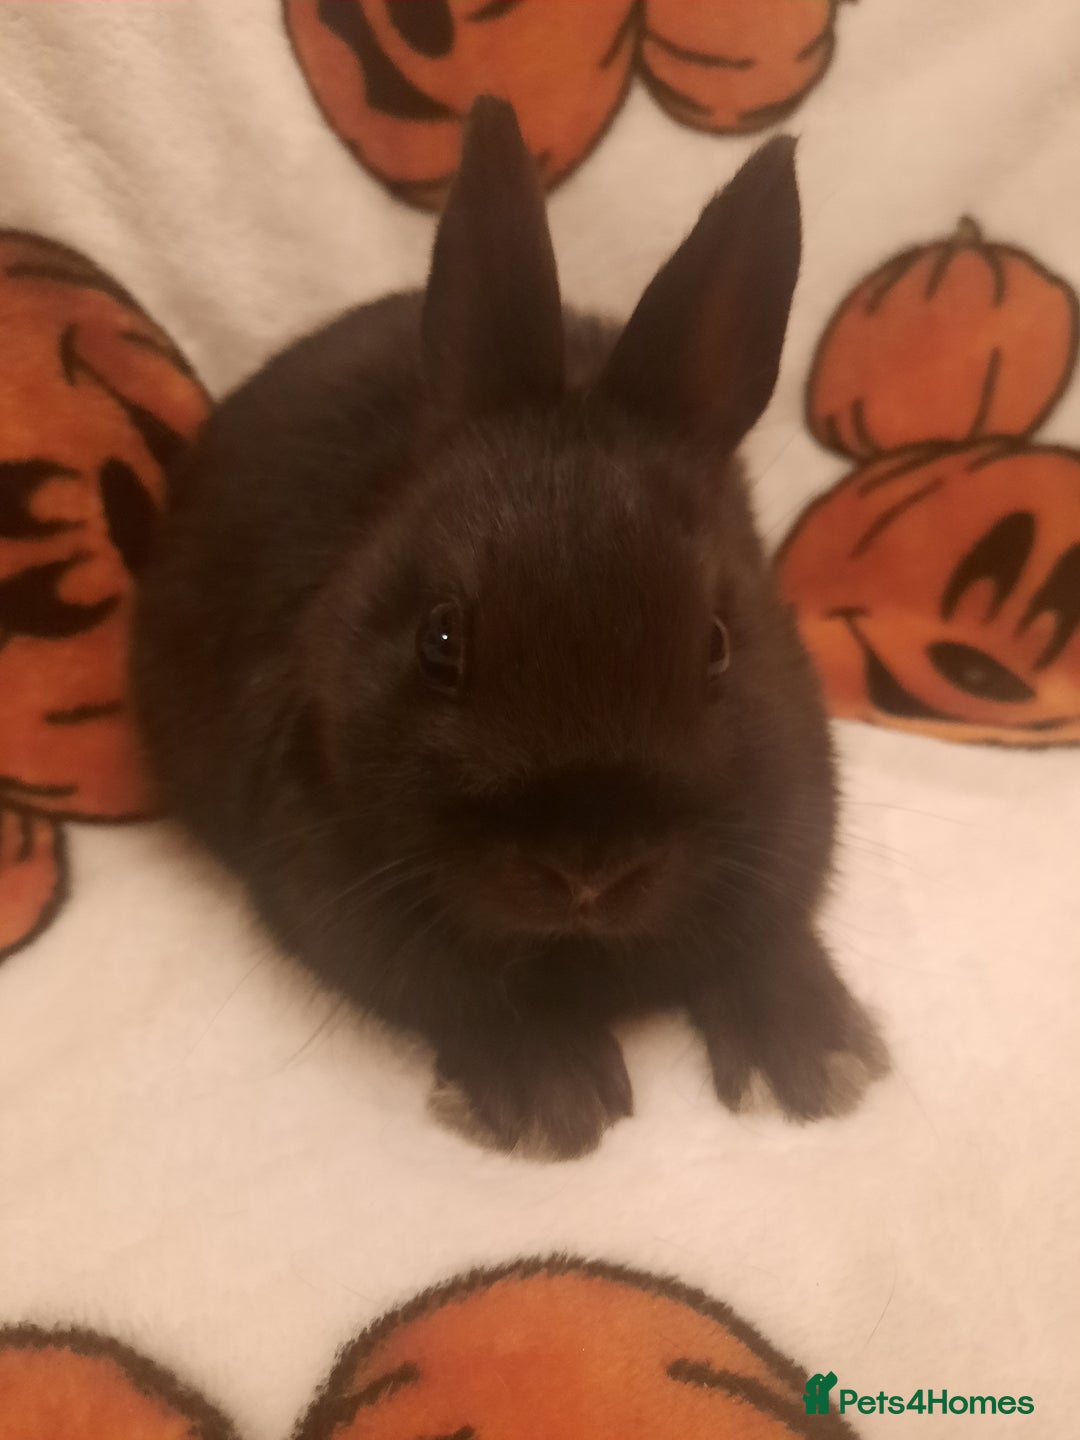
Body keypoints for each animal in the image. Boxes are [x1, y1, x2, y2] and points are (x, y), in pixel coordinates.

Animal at [132, 97, 888, 1161]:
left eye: (717, 644)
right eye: (439, 640)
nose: (588, 870)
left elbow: (766, 934)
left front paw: (816, 1062)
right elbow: (466, 991)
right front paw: (554, 1099)